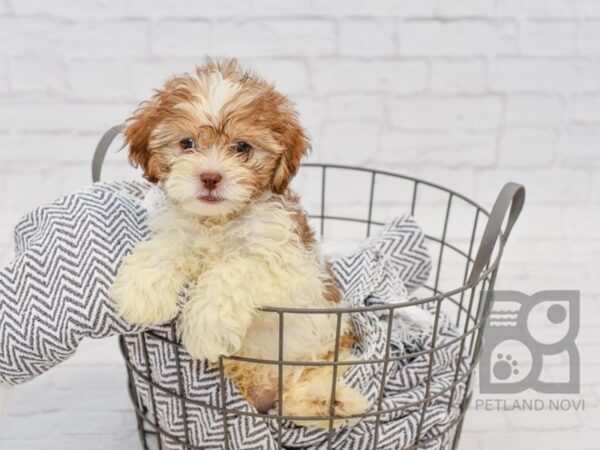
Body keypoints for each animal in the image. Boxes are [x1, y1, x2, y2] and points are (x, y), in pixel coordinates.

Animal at [110, 58, 368, 428]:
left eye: (242, 147)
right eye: (187, 143)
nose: (210, 177)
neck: (219, 221)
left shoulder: (291, 266)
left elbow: (237, 266)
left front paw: (205, 326)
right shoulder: (182, 233)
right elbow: (165, 248)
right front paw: (142, 292)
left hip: (328, 348)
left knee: (307, 383)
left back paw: (329, 402)